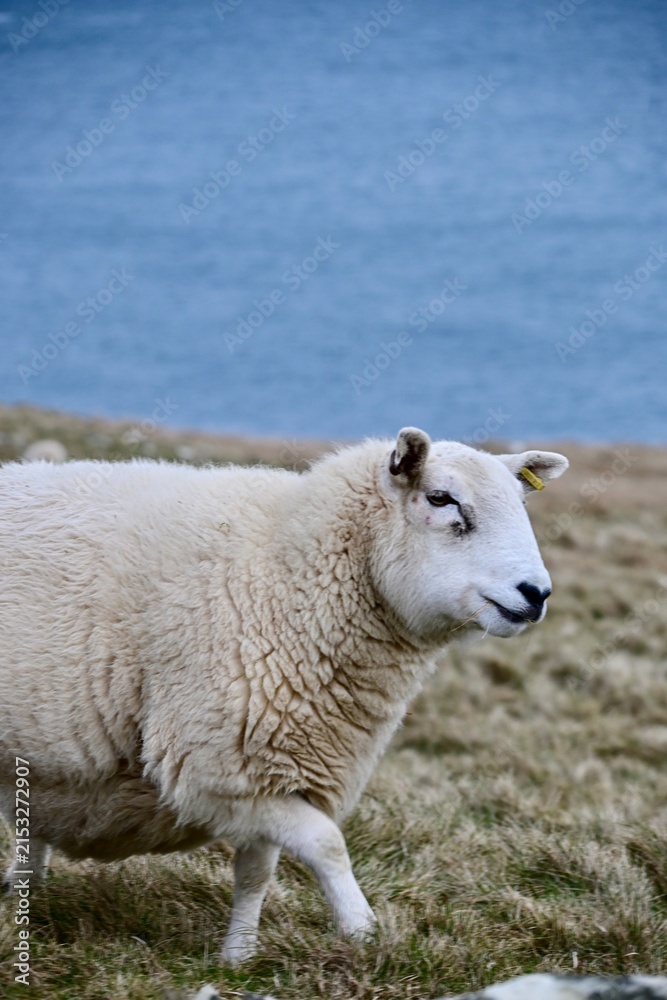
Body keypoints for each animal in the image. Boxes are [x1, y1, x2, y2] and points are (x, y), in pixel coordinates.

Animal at [0, 427, 567, 962]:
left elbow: (258, 870)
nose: (536, 594)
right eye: (441, 498)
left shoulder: (277, 767)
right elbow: (327, 843)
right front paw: (363, 931)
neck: (289, 576)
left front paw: (238, 956)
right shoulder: (216, 769)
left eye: (521, 502)